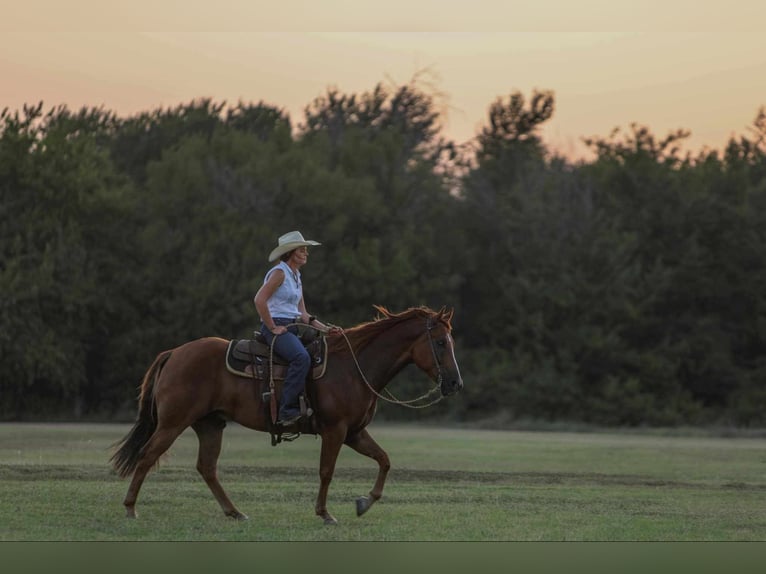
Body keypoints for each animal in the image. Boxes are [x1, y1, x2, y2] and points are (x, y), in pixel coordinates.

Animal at [110, 306, 464, 528]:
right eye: (440, 342)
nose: (455, 384)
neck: (353, 367)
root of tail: (174, 353)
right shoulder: (335, 431)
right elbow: (326, 471)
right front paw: (325, 513)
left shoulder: (354, 432)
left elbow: (385, 460)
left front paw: (365, 502)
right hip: (173, 423)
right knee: (147, 456)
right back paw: (130, 508)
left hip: (210, 424)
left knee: (206, 467)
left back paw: (235, 512)